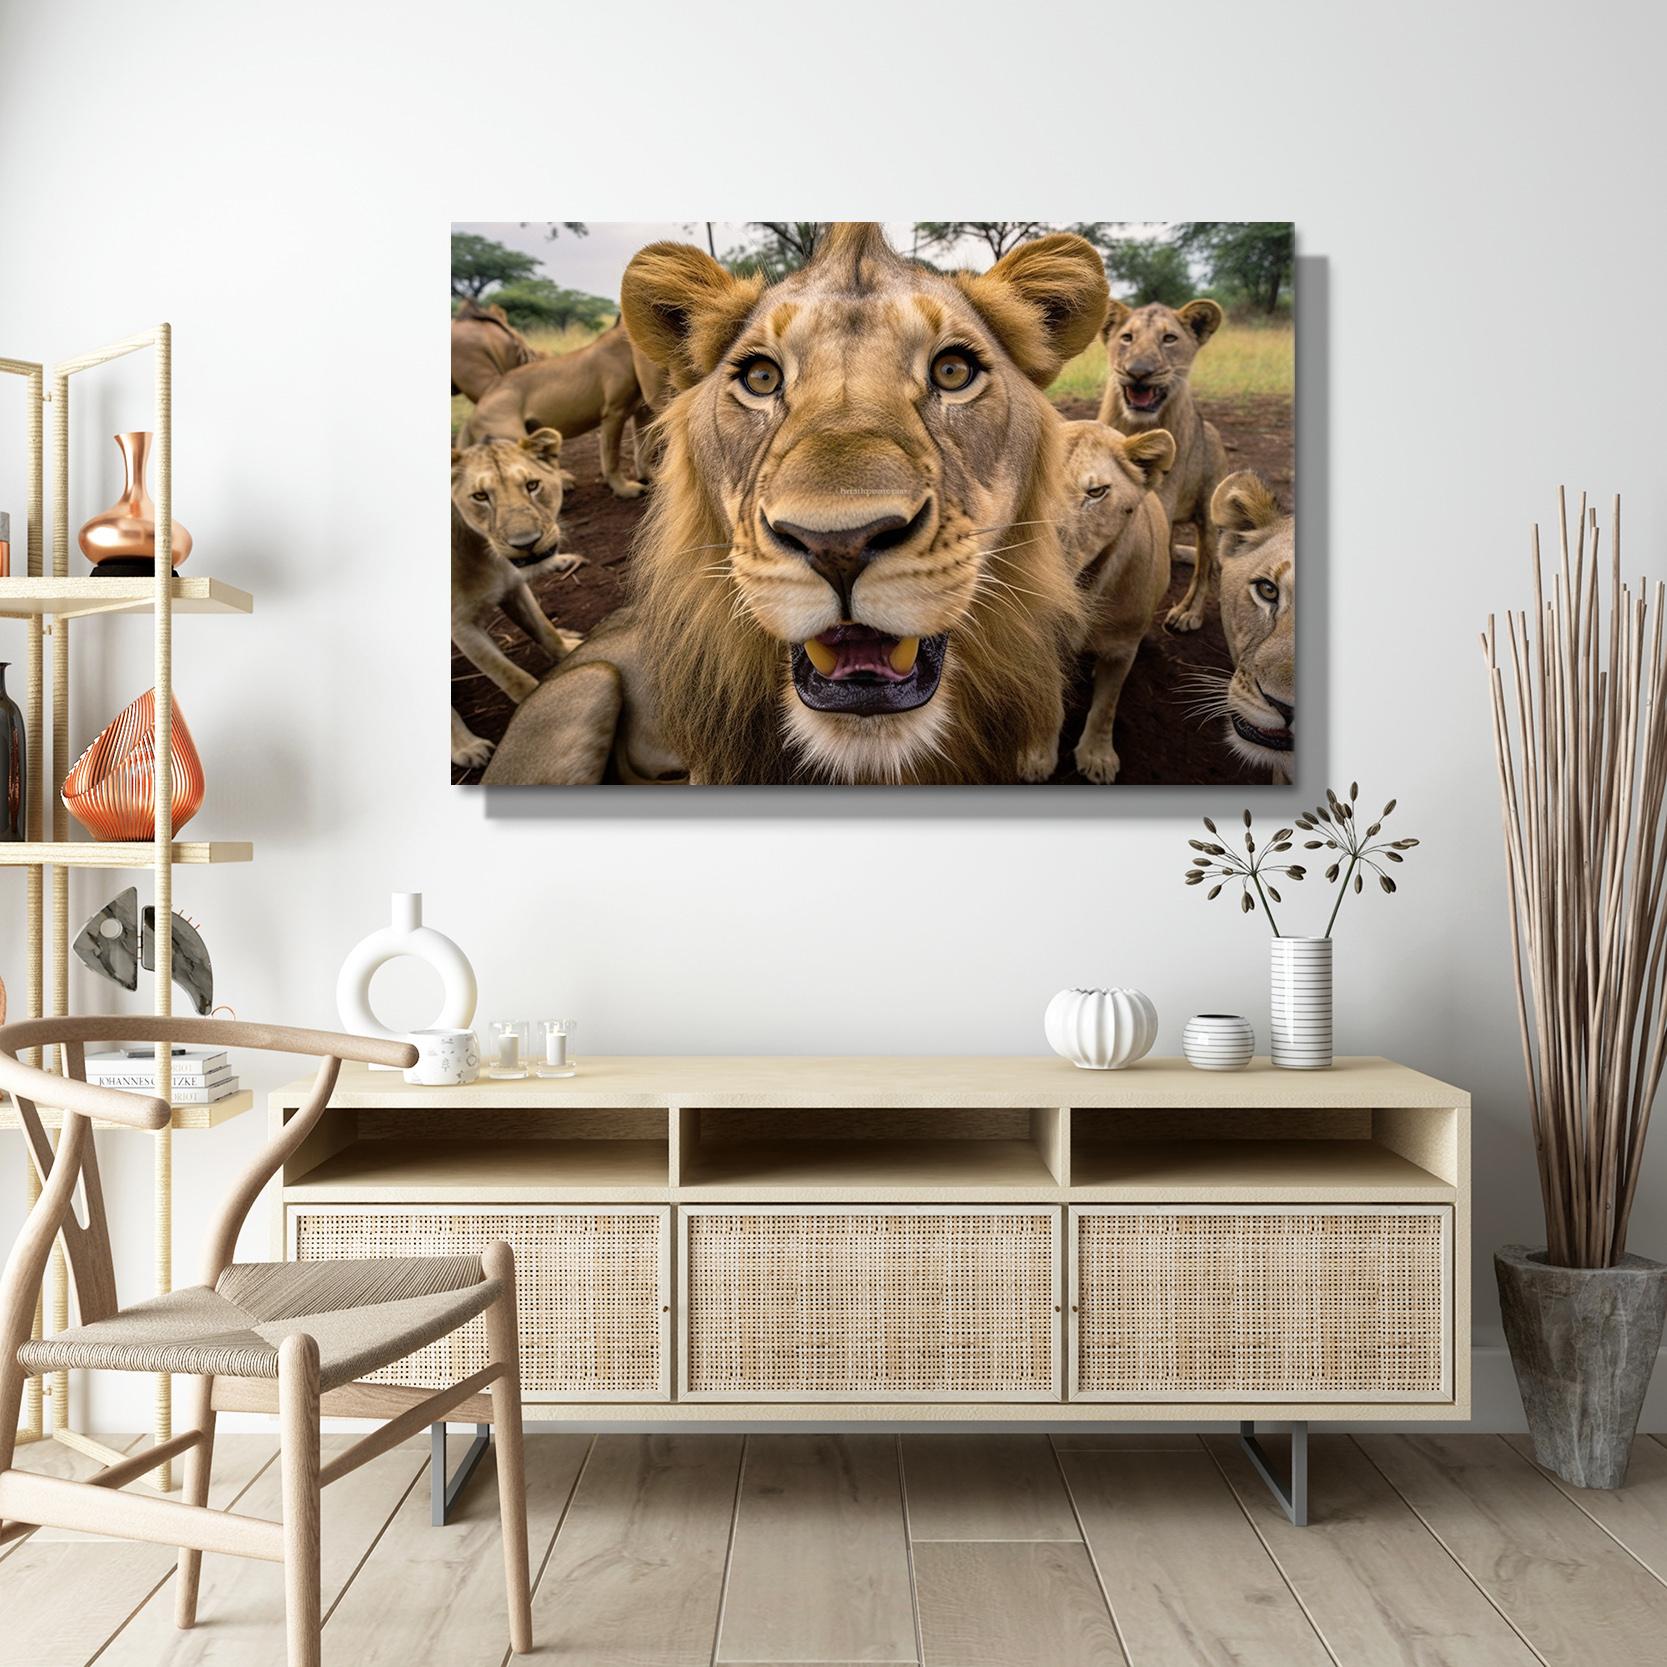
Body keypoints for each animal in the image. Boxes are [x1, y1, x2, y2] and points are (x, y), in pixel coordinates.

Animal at [451, 430, 583, 768]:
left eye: (532, 485)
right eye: (480, 496)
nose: (526, 543)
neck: (483, 552)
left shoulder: (513, 586)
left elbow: (544, 629)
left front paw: (569, 650)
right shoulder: (460, 625)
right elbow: (510, 676)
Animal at [459, 322, 668, 499]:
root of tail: (473, 414)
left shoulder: (642, 411)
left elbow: (644, 449)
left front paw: (650, 477)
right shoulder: (614, 413)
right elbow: (611, 456)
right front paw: (624, 489)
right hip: (511, 437)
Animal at [1098, 298, 1228, 635]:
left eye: (1169, 339)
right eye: (1127, 337)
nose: (1138, 372)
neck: (1136, 425)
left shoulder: (1161, 498)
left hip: (1210, 520)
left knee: (1204, 570)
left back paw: (1188, 613)